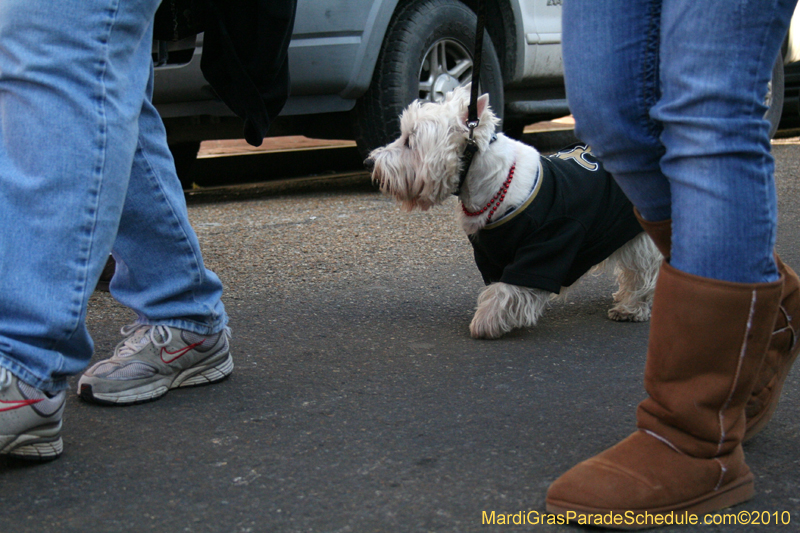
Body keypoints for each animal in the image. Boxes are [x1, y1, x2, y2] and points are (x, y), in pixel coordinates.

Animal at [364, 85, 664, 338]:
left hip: (638, 229)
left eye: (410, 141)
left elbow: (509, 288)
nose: (370, 163)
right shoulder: (490, 254)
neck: (493, 186)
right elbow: (496, 286)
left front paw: (486, 322)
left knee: (645, 269)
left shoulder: (547, 245)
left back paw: (632, 307)